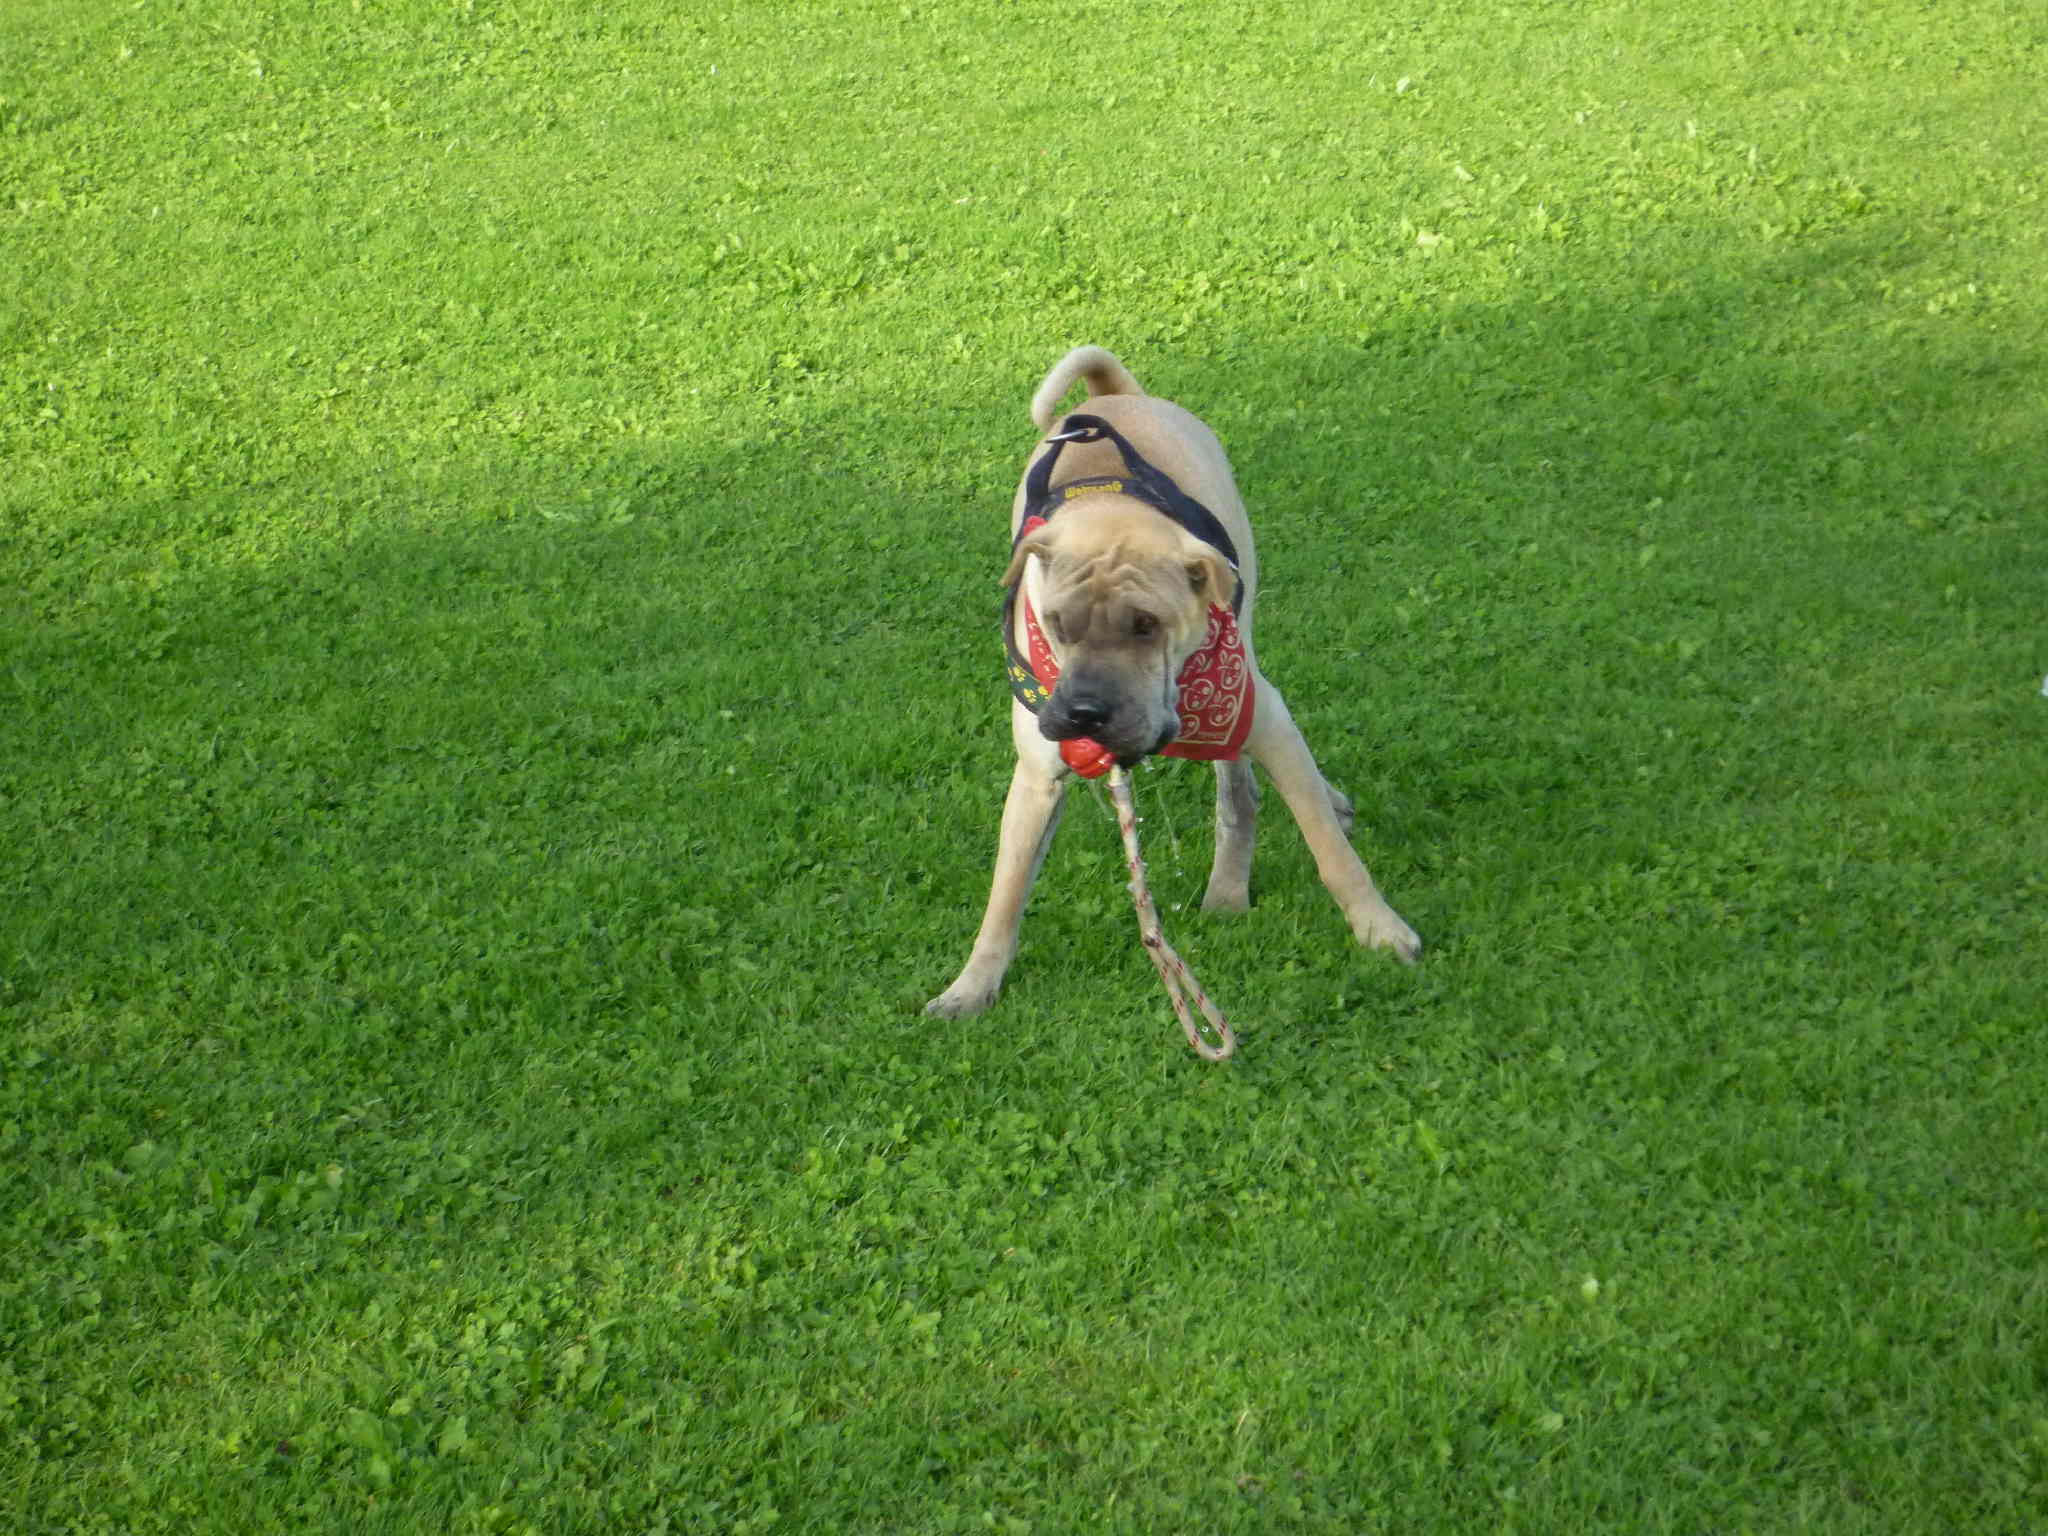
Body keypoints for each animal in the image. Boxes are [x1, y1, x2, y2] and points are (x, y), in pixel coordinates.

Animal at [925, 346, 1420, 1019]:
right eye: (1056, 623)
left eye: (1146, 625)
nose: (1085, 713)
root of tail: (1111, 396)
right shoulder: (1036, 776)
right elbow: (1005, 891)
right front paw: (973, 984)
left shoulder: (1259, 715)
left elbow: (1331, 851)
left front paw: (1379, 928)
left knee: (1241, 791)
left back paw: (1235, 880)